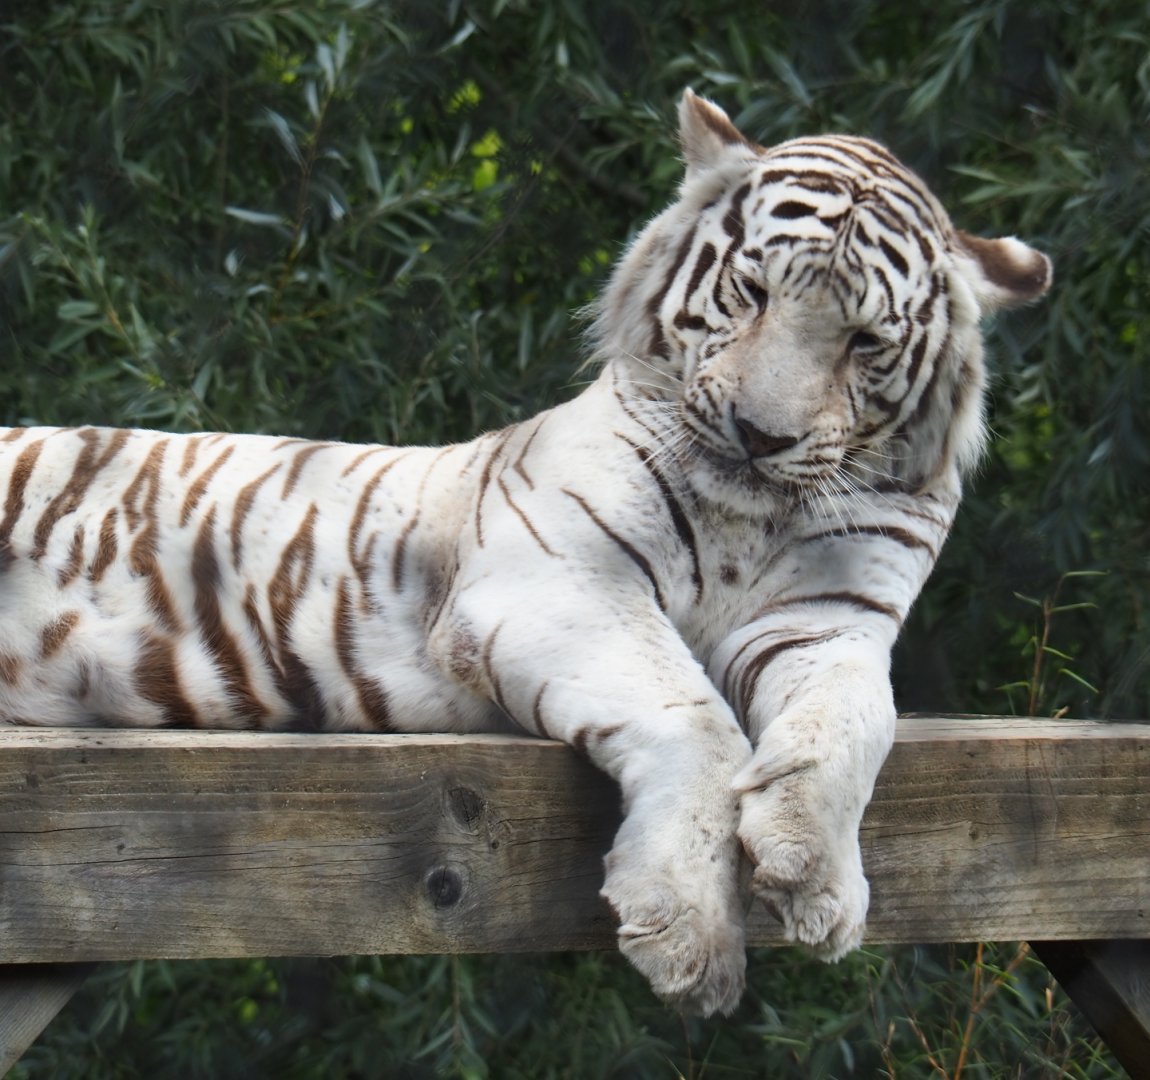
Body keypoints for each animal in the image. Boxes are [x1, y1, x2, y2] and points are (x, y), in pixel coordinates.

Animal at [0, 91, 1050, 1016]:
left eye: (863, 341)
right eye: (751, 292)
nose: (759, 434)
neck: (750, 515)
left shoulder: (831, 625)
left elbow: (851, 724)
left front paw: (815, 877)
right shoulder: (559, 576)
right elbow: (698, 720)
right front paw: (689, 933)